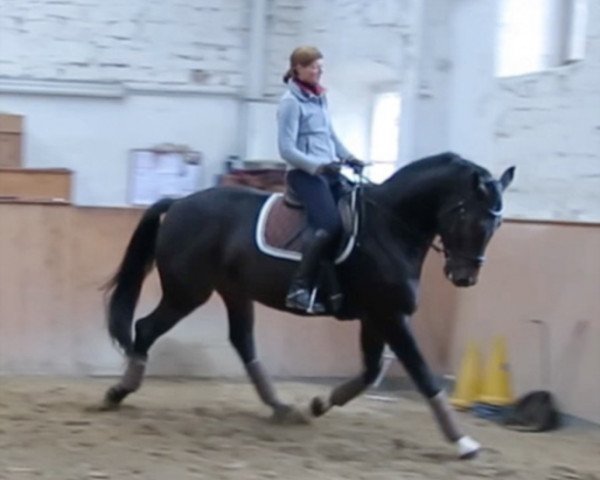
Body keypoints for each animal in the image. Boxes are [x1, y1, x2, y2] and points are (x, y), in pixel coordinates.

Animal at [104, 152, 516, 460]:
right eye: (468, 216)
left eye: (496, 224)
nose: (464, 277)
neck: (388, 229)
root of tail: (179, 203)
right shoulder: (390, 316)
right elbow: (422, 374)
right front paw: (462, 442)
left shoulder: (376, 317)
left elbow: (370, 372)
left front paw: (317, 404)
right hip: (187, 292)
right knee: (145, 329)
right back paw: (118, 392)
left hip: (233, 292)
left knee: (242, 342)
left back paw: (282, 408)